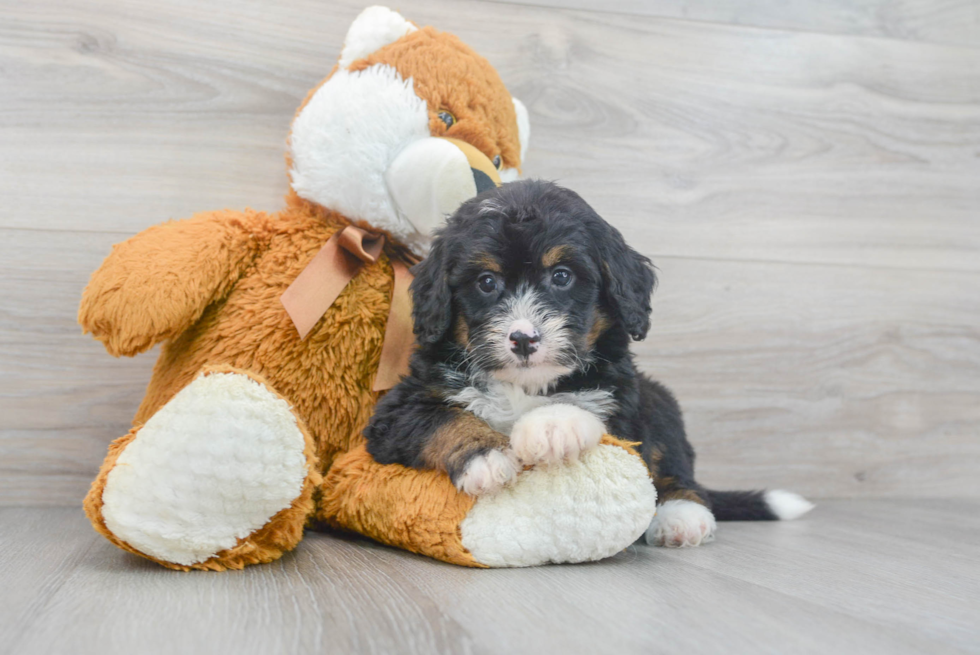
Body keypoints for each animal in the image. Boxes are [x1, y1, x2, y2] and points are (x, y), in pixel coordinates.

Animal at [366, 179, 812, 548]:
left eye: (562, 276)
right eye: (486, 283)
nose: (524, 339)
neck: (525, 385)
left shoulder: (621, 401)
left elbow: (588, 411)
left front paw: (551, 427)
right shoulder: (396, 411)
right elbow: (442, 419)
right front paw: (486, 458)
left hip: (660, 401)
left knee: (675, 472)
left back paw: (682, 517)